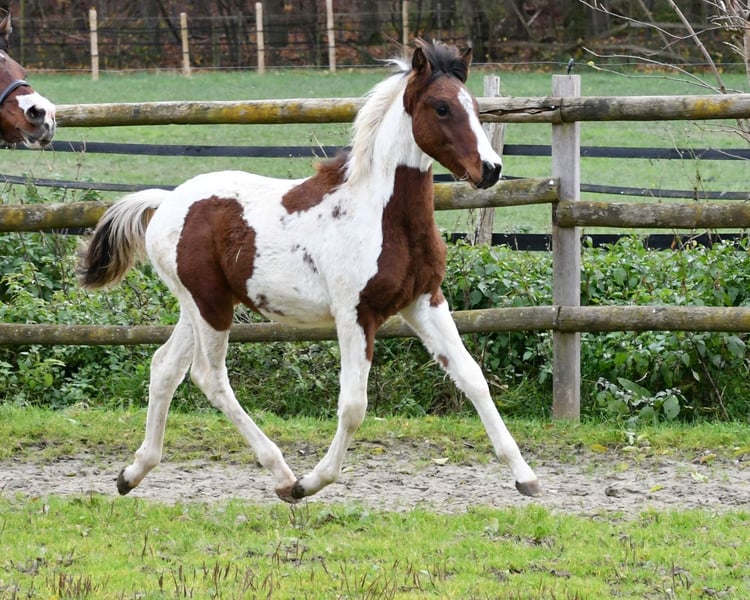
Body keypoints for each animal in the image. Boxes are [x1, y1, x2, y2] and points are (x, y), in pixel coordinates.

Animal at [79, 39, 541, 503]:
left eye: (475, 106)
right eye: (442, 107)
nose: (491, 169)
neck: (381, 216)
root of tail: (165, 202)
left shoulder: (424, 302)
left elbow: (473, 377)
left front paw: (526, 477)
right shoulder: (355, 314)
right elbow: (354, 405)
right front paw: (312, 482)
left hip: (199, 306)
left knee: (164, 367)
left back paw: (133, 473)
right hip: (209, 305)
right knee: (208, 377)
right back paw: (283, 476)